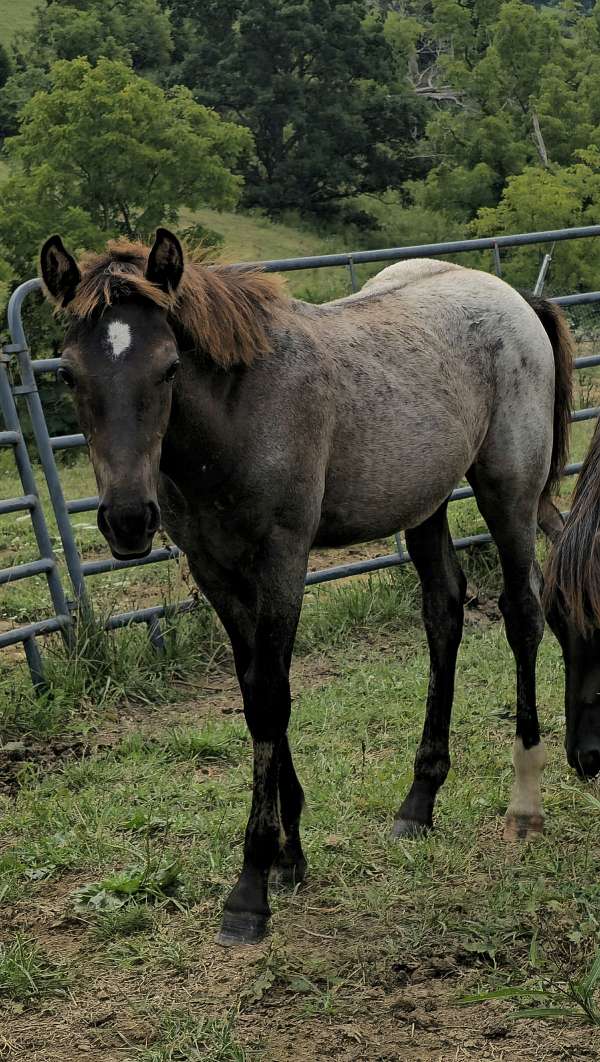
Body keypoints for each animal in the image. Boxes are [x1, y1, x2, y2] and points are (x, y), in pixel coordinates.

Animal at [40, 230, 569, 947]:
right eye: (68, 373)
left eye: (170, 367)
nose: (127, 521)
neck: (238, 415)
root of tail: (513, 296)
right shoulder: (217, 571)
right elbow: (253, 691)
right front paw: (290, 855)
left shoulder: (283, 561)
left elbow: (271, 698)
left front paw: (250, 888)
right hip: (425, 504)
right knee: (444, 610)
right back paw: (419, 801)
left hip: (507, 490)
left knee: (521, 613)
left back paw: (524, 806)